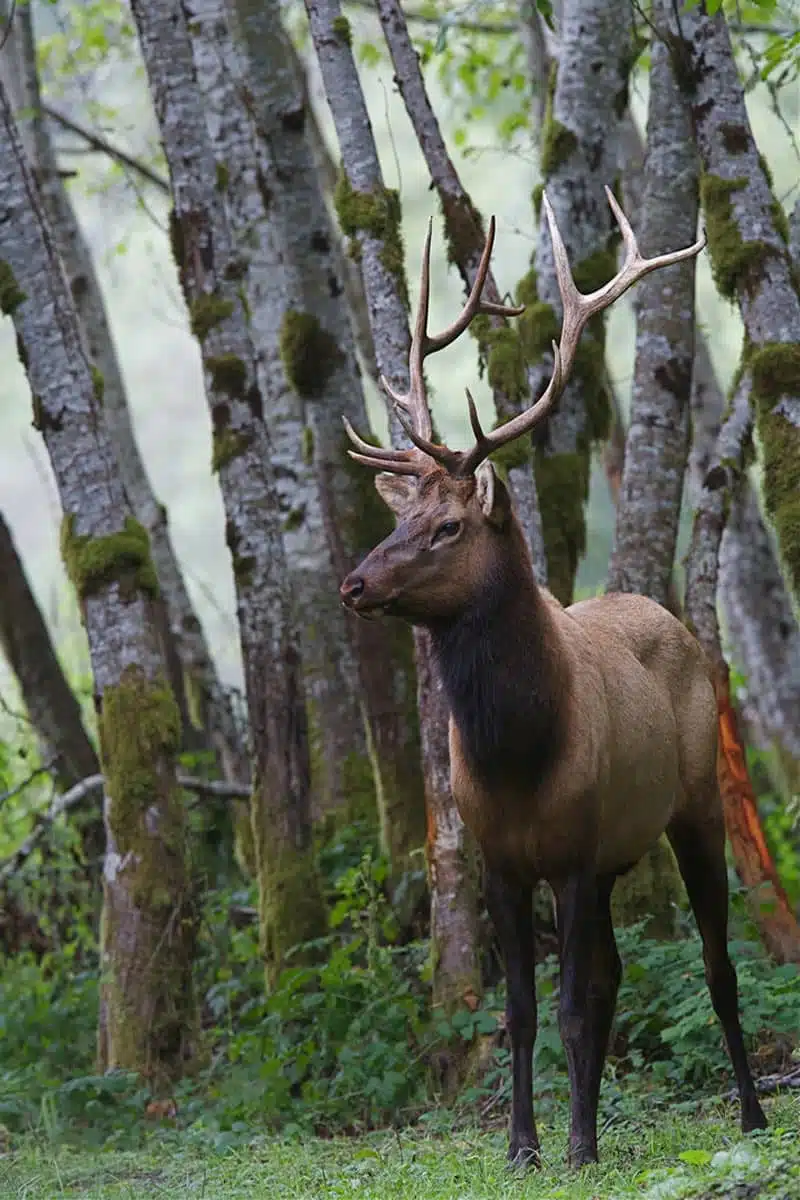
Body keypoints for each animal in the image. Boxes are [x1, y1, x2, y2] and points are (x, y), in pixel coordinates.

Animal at [338, 189, 767, 1171]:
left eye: (449, 526)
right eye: (402, 516)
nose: (355, 583)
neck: (520, 752)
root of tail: (669, 616)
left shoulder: (571, 851)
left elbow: (570, 1006)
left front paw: (571, 1143)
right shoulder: (505, 861)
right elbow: (525, 1012)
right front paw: (527, 1145)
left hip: (694, 804)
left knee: (717, 966)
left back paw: (753, 1114)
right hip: (614, 857)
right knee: (613, 975)